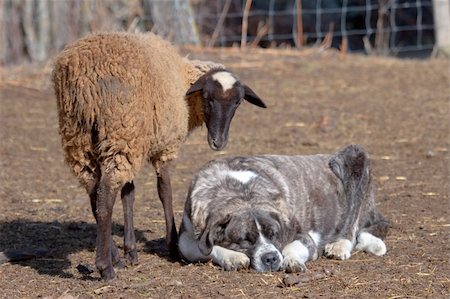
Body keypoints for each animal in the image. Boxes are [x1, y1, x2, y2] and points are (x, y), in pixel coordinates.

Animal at [51, 31, 266, 280]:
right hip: (120, 130)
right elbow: (165, 192)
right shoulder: (163, 147)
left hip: (79, 137)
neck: (183, 80)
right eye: (208, 98)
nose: (218, 142)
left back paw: (115, 257)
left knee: (94, 194)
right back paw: (106, 267)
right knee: (104, 196)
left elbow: (129, 194)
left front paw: (131, 252)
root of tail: (82, 77)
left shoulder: (137, 143)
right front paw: (172, 246)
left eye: (238, 102)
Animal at [178, 144, 388, 274]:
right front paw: (233, 256)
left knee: (354, 223)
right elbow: (206, 248)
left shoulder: (303, 236)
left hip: (353, 157)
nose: (270, 258)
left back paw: (340, 245)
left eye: (274, 234)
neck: (242, 192)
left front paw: (292, 259)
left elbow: (294, 246)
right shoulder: (185, 240)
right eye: (245, 240)